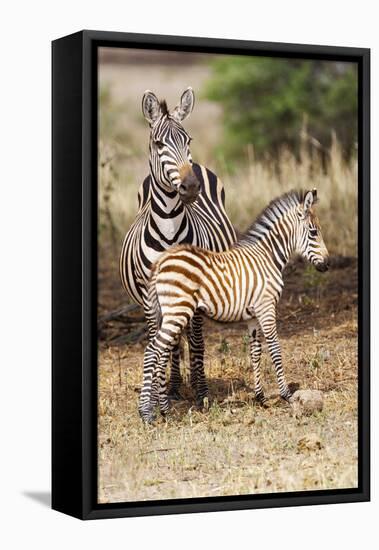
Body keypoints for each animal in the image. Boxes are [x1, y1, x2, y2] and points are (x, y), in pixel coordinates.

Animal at [120, 88, 236, 404]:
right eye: (159, 143)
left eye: (188, 140)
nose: (191, 187)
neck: (170, 229)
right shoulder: (149, 296)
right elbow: (156, 341)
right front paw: (159, 397)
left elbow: (195, 341)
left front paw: (202, 393)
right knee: (170, 339)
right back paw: (171, 387)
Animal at [140, 189, 330, 422]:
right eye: (313, 232)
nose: (328, 264)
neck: (268, 257)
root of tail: (161, 261)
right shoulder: (267, 307)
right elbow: (275, 348)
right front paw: (286, 394)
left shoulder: (253, 316)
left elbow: (255, 352)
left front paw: (261, 397)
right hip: (177, 312)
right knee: (154, 350)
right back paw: (148, 413)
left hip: (169, 313)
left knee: (160, 352)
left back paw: (161, 410)